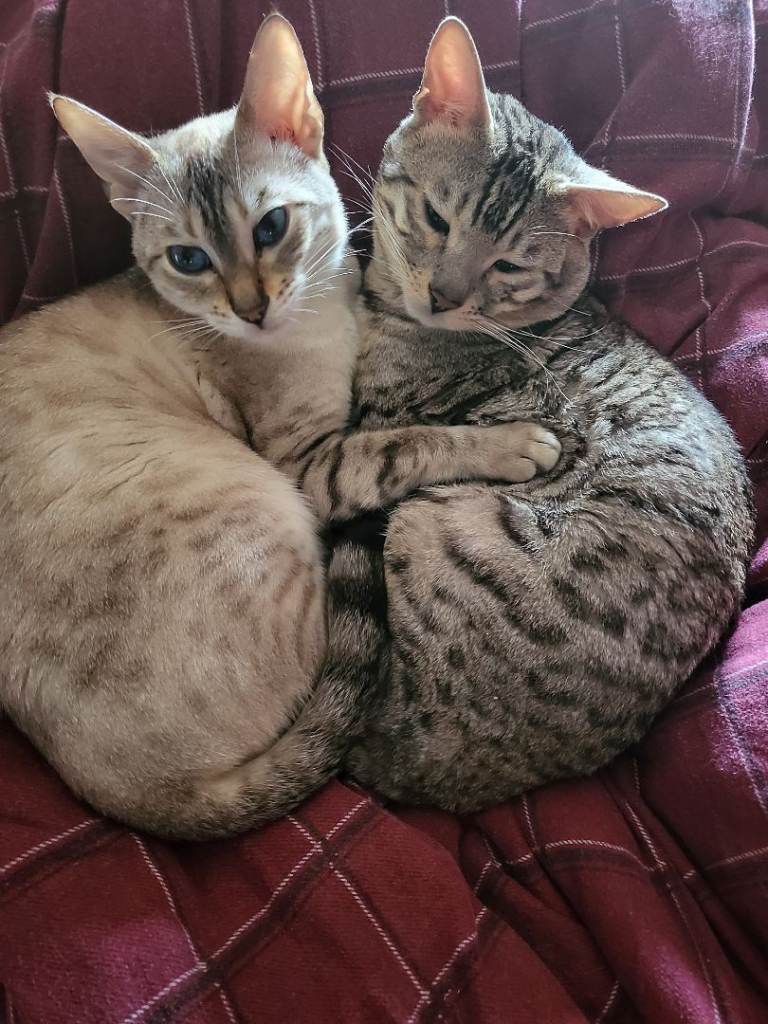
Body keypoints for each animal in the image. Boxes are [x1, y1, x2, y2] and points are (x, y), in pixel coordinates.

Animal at [0, 15, 560, 838]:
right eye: (188, 258)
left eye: (270, 228)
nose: (251, 308)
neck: (328, 307)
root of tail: (148, 800)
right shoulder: (309, 462)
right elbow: (408, 441)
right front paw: (516, 442)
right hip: (270, 506)